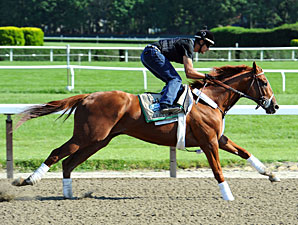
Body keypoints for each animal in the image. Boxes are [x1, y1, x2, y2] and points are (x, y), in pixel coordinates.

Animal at [13, 61, 280, 200]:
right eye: (264, 82)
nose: (275, 106)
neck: (210, 100)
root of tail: (87, 96)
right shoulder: (208, 142)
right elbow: (217, 170)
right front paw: (228, 196)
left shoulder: (219, 138)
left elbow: (244, 152)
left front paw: (271, 174)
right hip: (86, 136)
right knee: (56, 153)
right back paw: (28, 179)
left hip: (98, 141)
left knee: (69, 163)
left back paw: (68, 194)